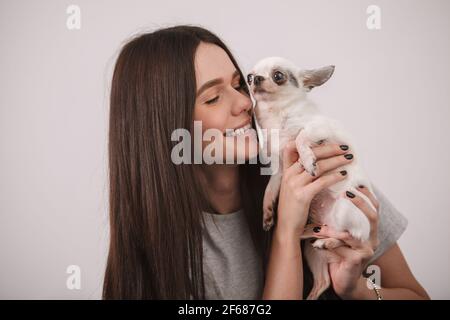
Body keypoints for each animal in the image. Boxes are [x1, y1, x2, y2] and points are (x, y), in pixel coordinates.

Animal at [248, 56, 378, 298]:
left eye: (278, 76)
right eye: (250, 76)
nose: (256, 79)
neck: (276, 114)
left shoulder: (319, 130)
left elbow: (301, 138)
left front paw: (309, 161)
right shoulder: (281, 170)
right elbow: (269, 189)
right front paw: (267, 212)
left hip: (345, 208)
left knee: (348, 236)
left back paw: (328, 241)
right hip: (311, 253)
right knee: (323, 282)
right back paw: (307, 234)